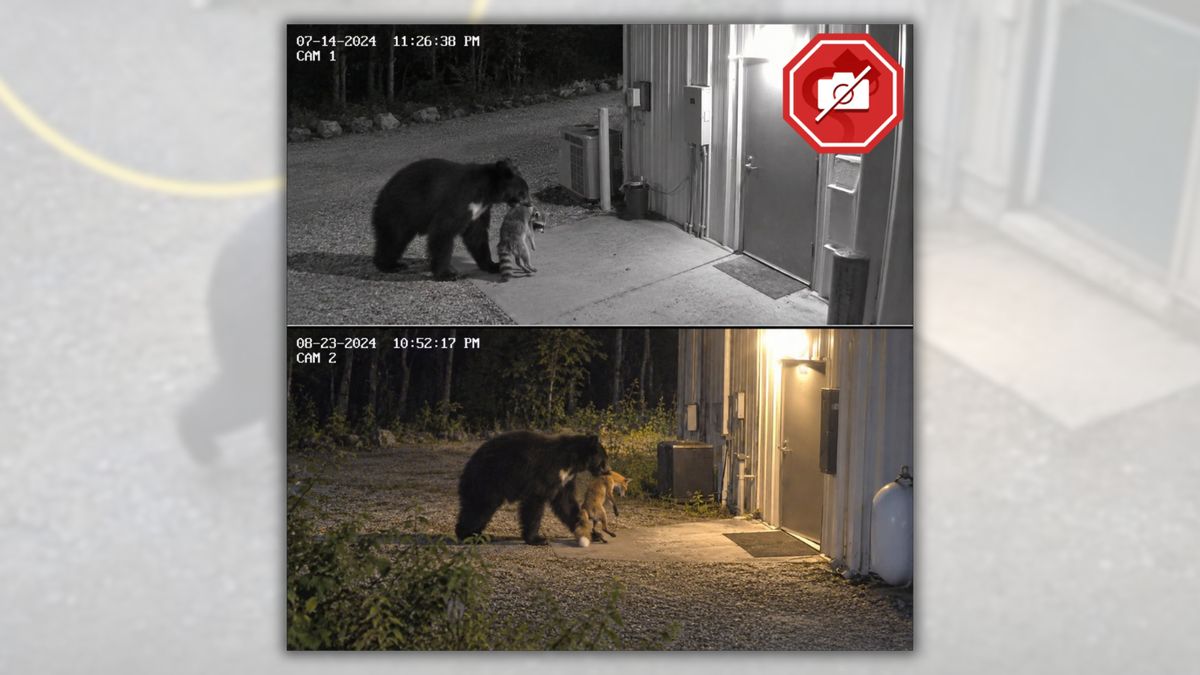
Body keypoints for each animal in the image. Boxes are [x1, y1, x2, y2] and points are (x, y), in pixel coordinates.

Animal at [371, 158, 532, 281]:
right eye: (523, 193)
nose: (530, 204)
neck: (486, 190)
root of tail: (381, 194)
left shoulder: (479, 209)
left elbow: (477, 235)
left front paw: (493, 265)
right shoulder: (459, 199)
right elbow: (443, 230)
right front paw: (447, 274)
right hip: (399, 210)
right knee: (394, 239)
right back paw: (390, 265)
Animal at [455, 431, 611, 546]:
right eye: (603, 460)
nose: (608, 471)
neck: (571, 462)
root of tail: (471, 461)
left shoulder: (565, 479)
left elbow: (566, 504)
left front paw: (593, 533)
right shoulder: (546, 472)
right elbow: (535, 502)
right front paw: (538, 539)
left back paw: (480, 534)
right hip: (488, 479)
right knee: (480, 507)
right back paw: (469, 535)